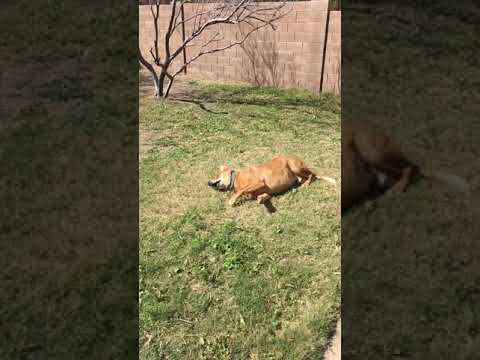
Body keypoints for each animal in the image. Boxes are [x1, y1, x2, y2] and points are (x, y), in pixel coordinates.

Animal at [208, 154, 336, 211]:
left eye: (217, 175)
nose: (208, 182)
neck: (236, 178)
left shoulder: (259, 181)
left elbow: (241, 190)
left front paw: (232, 200)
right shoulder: (266, 192)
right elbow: (263, 196)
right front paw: (261, 199)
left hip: (294, 166)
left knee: (312, 175)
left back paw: (305, 185)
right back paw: (297, 186)